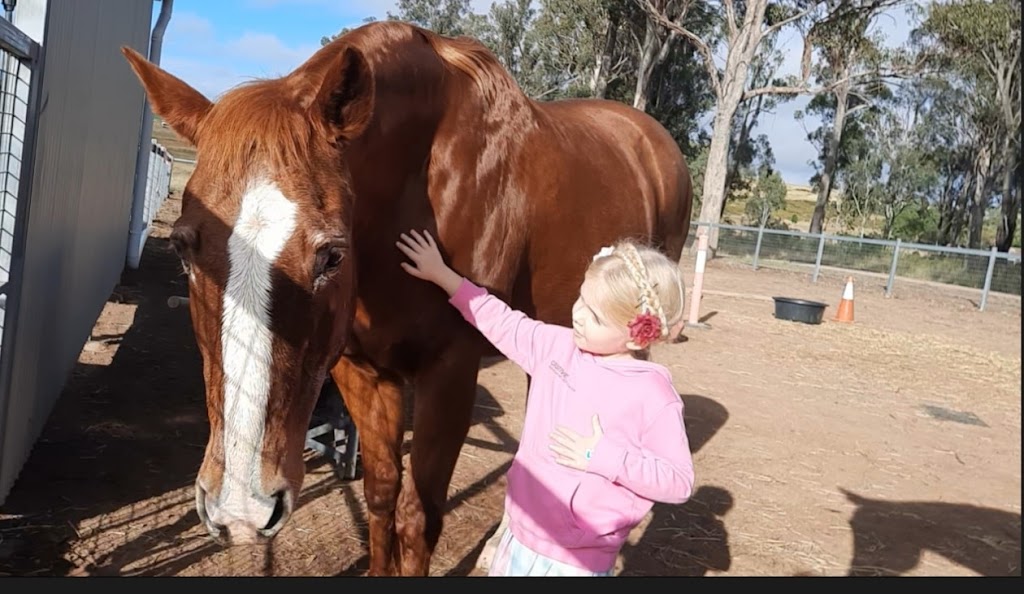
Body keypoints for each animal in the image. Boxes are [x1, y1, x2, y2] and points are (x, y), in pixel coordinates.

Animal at [121, 19, 696, 573]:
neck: (417, 186)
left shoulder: (450, 375)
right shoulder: (361, 370)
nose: (241, 509)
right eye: (183, 247)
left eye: (332, 256)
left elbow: (420, 519)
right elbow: (381, 495)